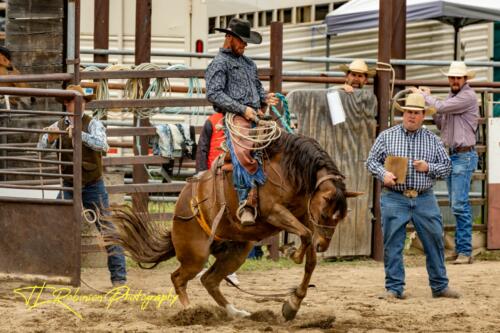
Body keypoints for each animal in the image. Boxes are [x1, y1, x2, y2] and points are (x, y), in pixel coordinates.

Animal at [105, 131, 362, 320]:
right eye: (326, 212)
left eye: (340, 217)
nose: (323, 245)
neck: (290, 169)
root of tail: (181, 205)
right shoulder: (274, 212)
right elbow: (306, 236)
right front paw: (291, 252)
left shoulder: (305, 216)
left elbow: (311, 260)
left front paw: (292, 304)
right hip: (195, 255)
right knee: (178, 278)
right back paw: (190, 311)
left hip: (236, 251)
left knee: (209, 280)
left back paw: (236, 312)